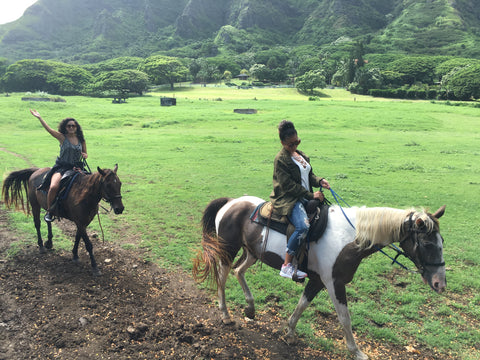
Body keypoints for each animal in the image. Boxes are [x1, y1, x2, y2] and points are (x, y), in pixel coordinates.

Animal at [194, 197, 446, 360]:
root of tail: (230, 202)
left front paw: (289, 333)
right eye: (427, 243)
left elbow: (302, 305)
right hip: (228, 250)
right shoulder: (335, 284)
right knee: (222, 278)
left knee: (239, 271)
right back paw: (226, 315)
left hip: (252, 253)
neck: (350, 237)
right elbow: (345, 318)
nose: (440, 283)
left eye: (441, 242)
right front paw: (356, 351)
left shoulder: (317, 281)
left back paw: (250, 307)